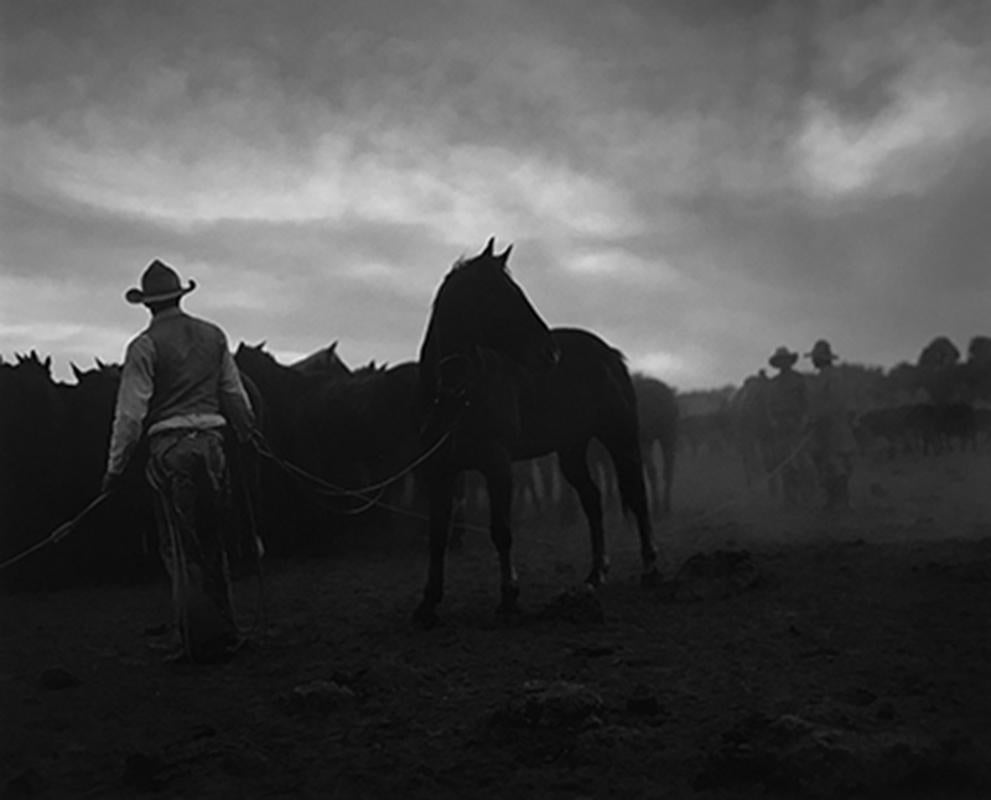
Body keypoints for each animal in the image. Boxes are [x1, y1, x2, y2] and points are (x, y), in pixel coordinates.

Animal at [414, 238, 664, 624]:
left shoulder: (498, 466)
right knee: (592, 500)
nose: (550, 352)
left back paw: (650, 569)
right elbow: (437, 534)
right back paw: (595, 574)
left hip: (620, 440)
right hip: (572, 451)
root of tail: (609, 354)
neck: (458, 394)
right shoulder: (441, 471)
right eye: (498, 294)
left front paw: (509, 597)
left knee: (637, 496)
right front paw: (428, 603)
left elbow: (501, 531)